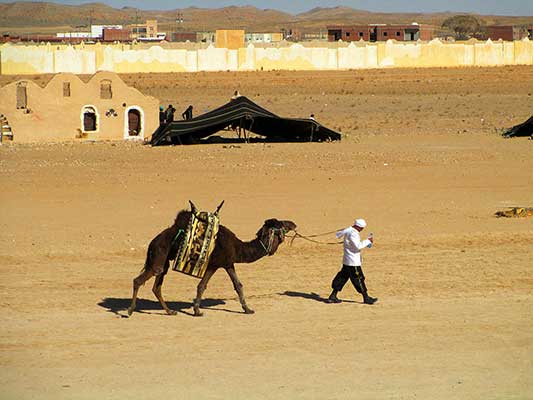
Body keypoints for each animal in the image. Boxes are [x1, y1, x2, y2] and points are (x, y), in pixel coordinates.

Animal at [127, 202, 298, 318]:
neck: (237, 248)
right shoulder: (220, 263)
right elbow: (206, 285)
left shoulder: (225, 264)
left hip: (164, 263)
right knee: (138, 280)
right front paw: (198, 310)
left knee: (157, 286)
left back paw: (170, 311)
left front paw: (247, 310)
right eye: (282, 224)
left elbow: (233, 285)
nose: (294, 223)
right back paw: (129, 311)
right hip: (158, 257)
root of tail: (152, 243)